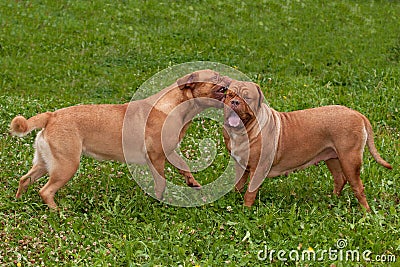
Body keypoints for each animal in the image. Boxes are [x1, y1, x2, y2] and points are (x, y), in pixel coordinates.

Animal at [10, 69, 231, 209]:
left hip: (45, 163)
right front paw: (159, 201)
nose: (229, 79)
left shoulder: (169, 152)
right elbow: (161, 182)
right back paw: (58, 212)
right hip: (66, 166)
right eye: (216, 77)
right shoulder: (156, 157)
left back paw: (18, 201)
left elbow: (184, 166)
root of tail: (51, 116)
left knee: (25, 179)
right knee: (45, 191)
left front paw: (192, 182)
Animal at [223, 80, 392, 213]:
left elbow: (250, 192)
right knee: (340, 179)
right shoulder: (241, 165)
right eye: (230, 95)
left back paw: (366, 212)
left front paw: (246, 209)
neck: (244, 131)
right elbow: (238, 185)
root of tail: (358, 114)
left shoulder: (258, 168)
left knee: (358, 187)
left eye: (247, 98)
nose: (235, 102)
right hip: (333, 158)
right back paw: (332, 199)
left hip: (349, 160)